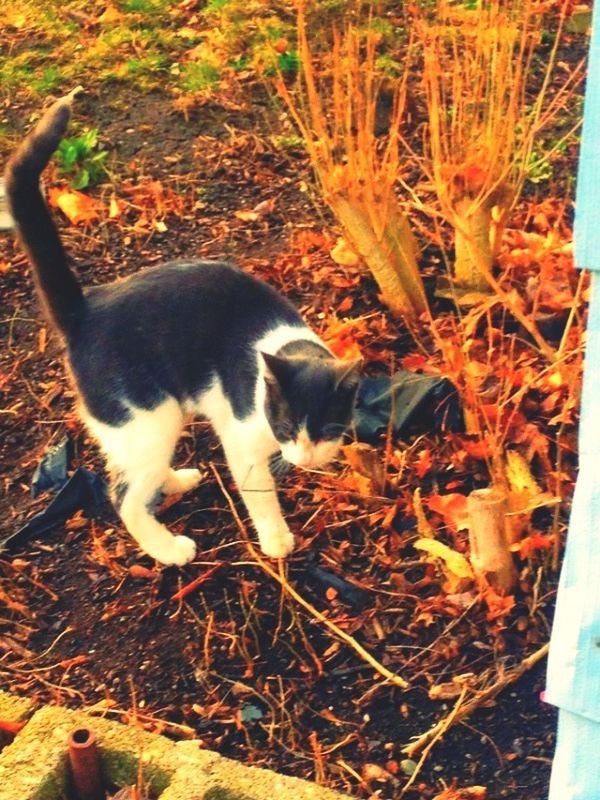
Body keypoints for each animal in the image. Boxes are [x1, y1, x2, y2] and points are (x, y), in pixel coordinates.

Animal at [5, 90, 360, 564]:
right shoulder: (243, 441)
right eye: (285, 428)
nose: (303, 459)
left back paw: (174, 481)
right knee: (124, 496)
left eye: (326, 429)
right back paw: (168, 549)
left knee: (128, 471)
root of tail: (85, 310)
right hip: (148, 417)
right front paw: (276, 542)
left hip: (142, 430)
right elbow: (260, 496)